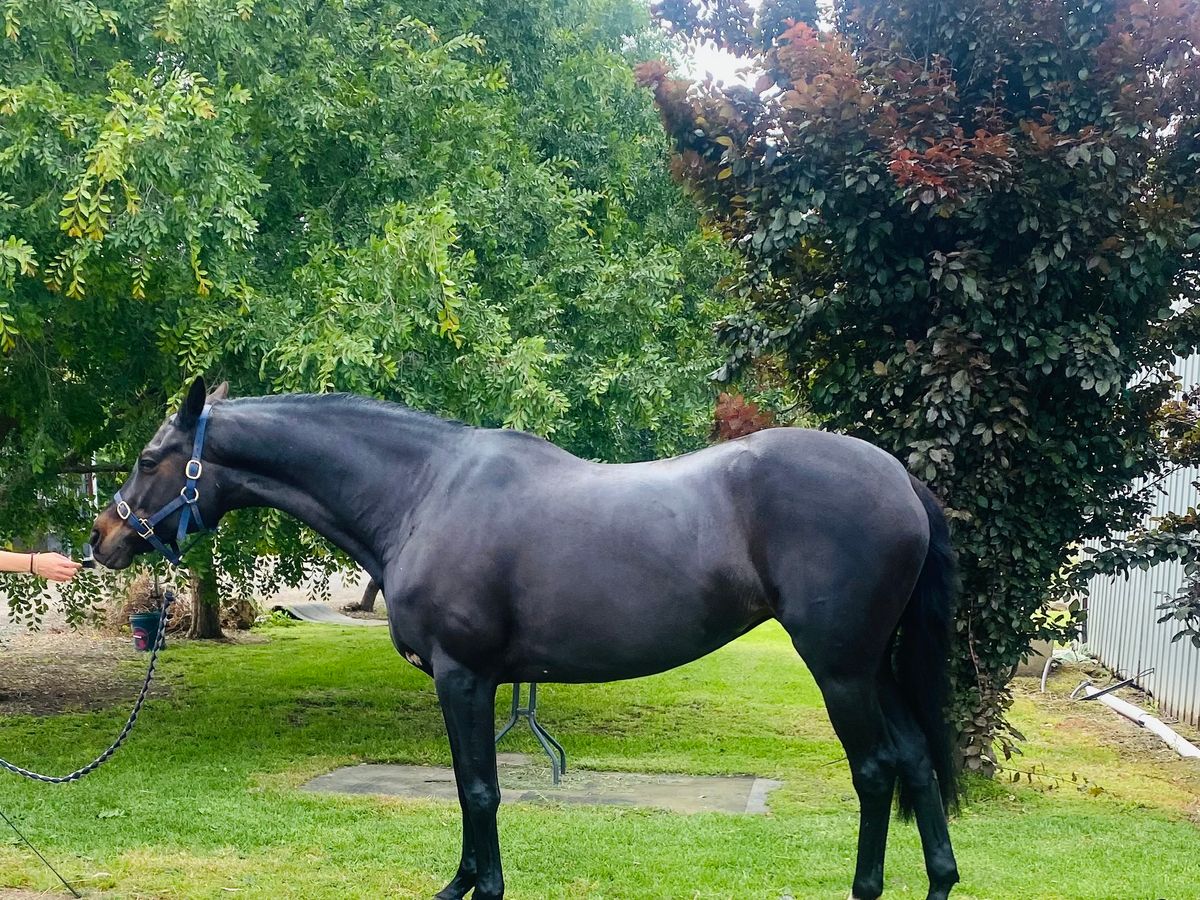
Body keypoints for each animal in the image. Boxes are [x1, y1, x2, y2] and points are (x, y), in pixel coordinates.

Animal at [90, 377, 960, 900]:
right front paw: (462, 884)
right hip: (874, 667)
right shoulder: (470, 681)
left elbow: (480, 788)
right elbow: (470, 786)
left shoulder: (463, 676)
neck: (423, 492)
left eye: (148, 457)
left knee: (876, 771)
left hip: (840, 668)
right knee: (916, 761)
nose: (104, 538)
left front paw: (482, 888)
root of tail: (899, 478)